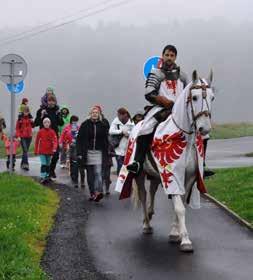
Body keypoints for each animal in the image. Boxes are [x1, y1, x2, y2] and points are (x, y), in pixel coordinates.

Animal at [133, 69, 214, 252]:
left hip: (156, 174)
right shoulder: (171, 174)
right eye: (195, 97)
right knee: (143, 194)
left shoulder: (188, 178)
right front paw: (185, 241)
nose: (204, 128)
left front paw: (175, 233)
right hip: (140, 174)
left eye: (212, 97)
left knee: (152, 190)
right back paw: (146, 224)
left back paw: (150, 214)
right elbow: (179, 207)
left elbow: (181, 204)